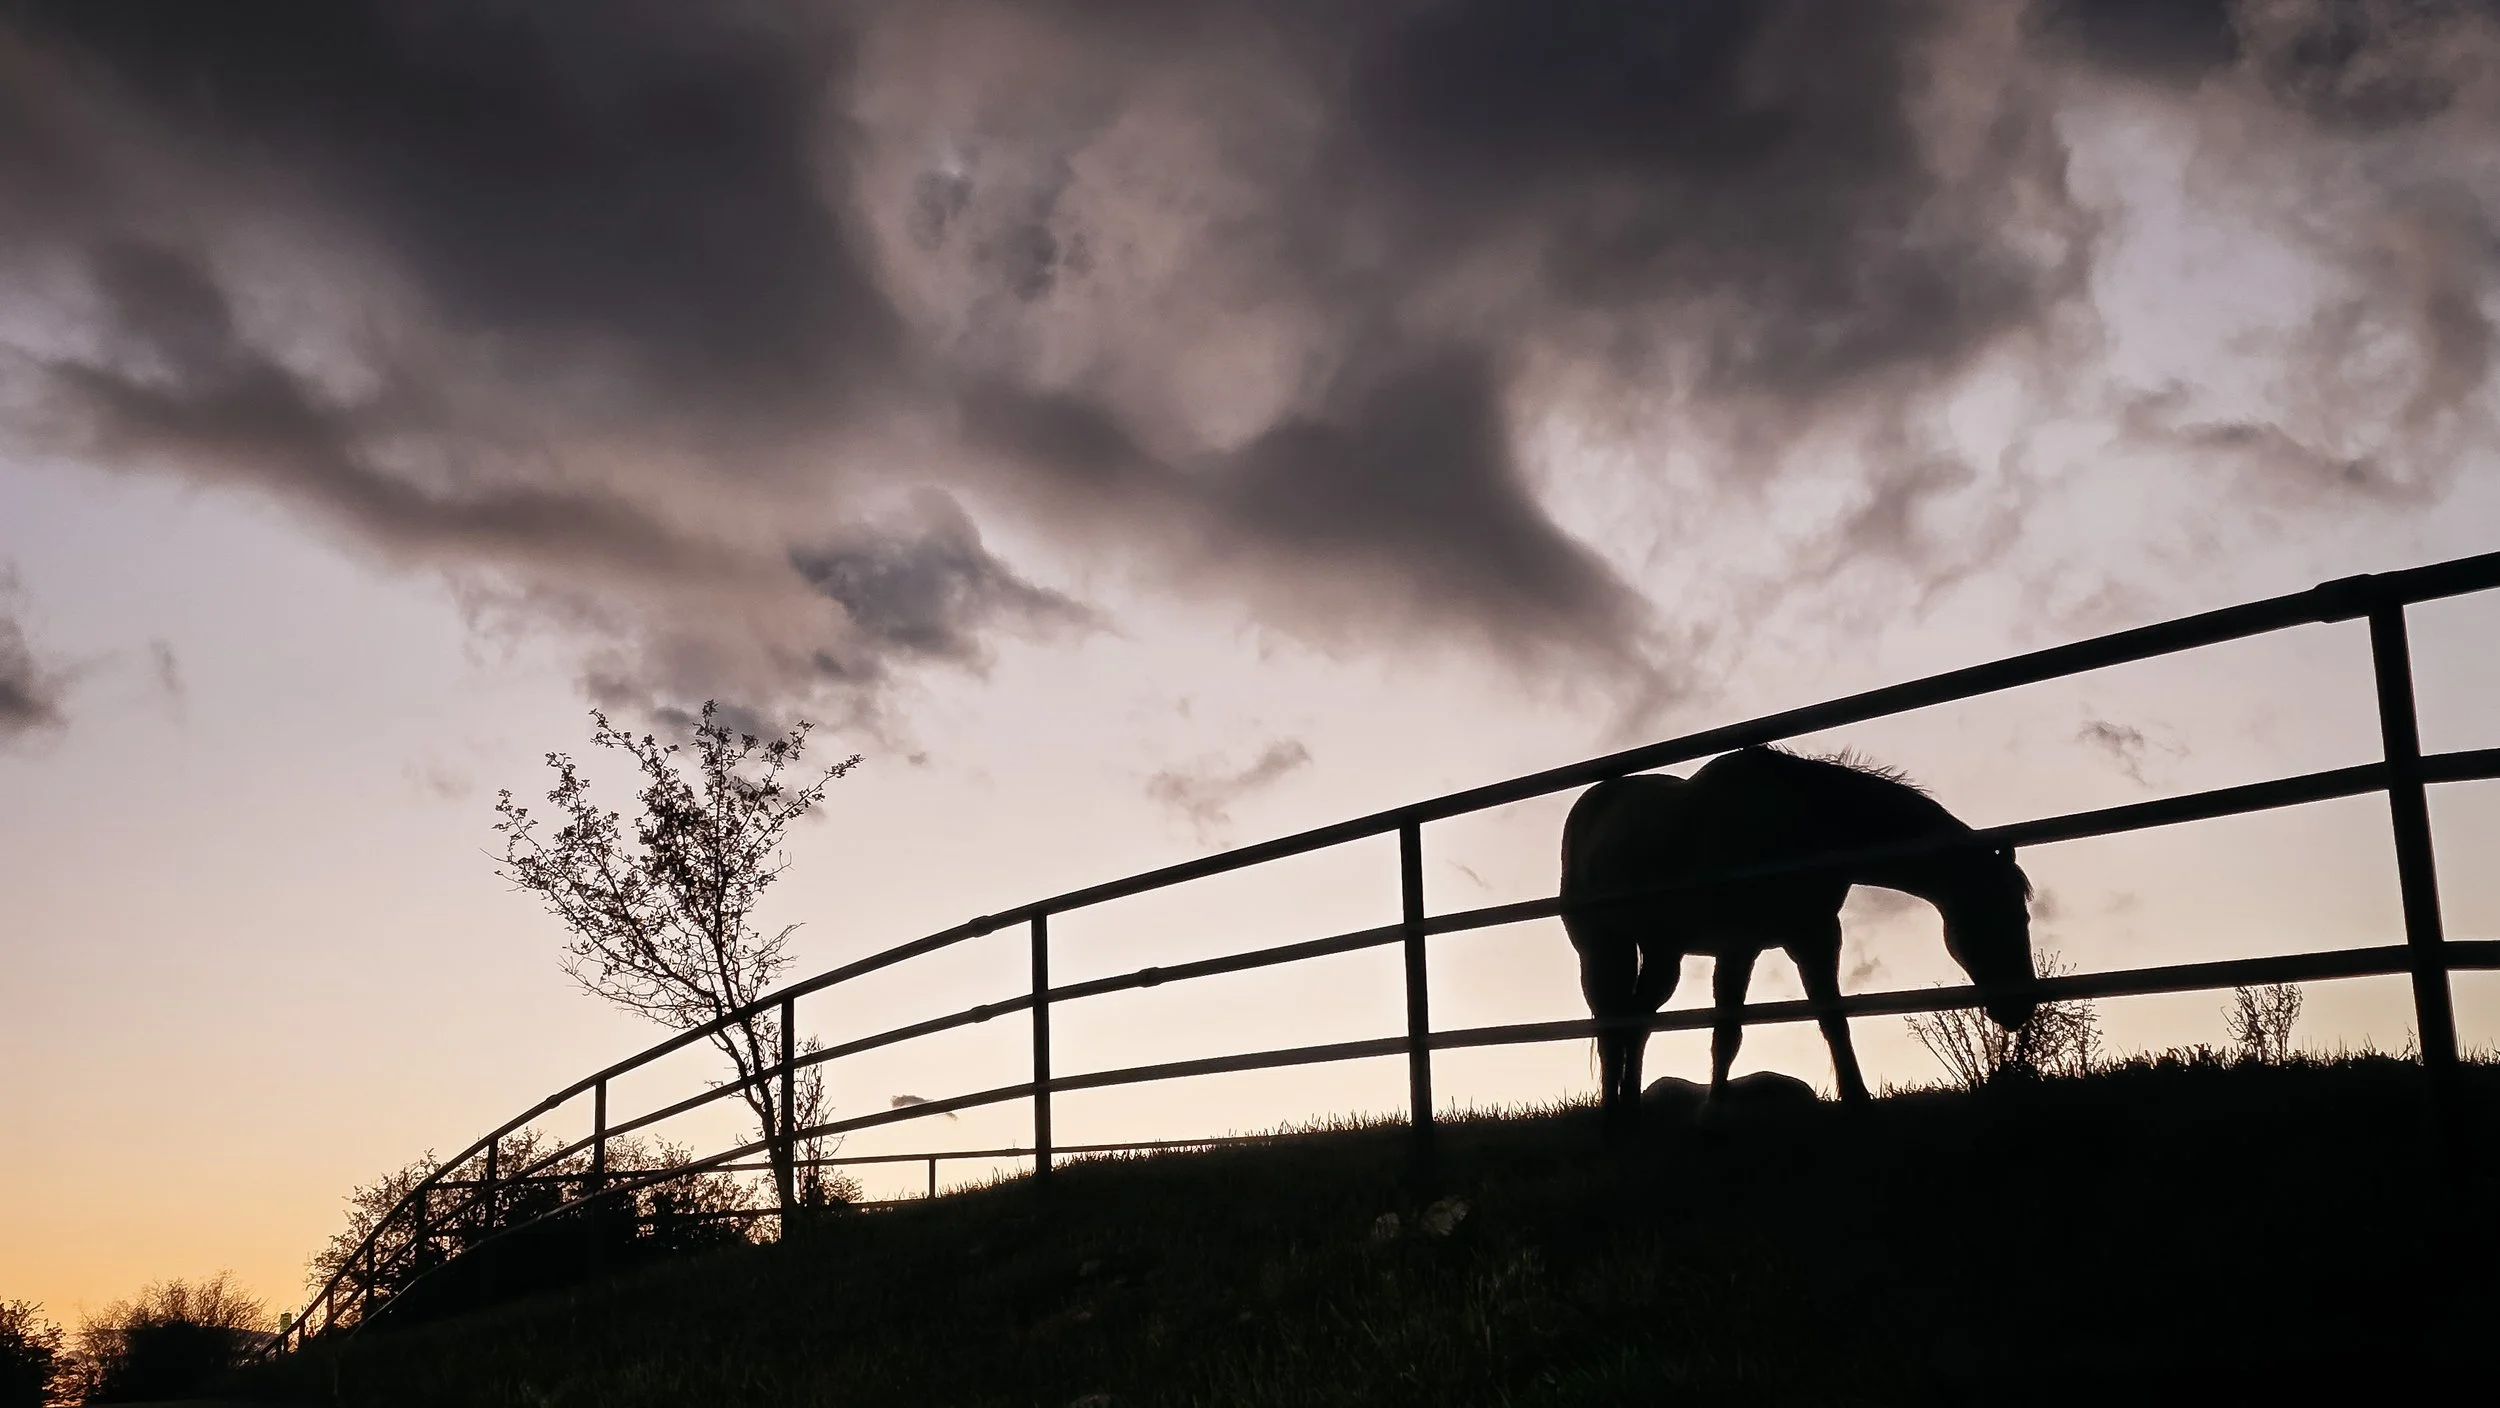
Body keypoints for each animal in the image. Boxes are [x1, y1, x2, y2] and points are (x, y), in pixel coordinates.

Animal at [1560, 746, 2036, 1139]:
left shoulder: (1815, 936)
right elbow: (1727, 1032)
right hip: (1602, 948)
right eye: (2002, 914)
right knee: (1612, 1023)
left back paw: (1631, 1114)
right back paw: (1613, 1120)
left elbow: (1832, 1018)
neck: (1798, 824)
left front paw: (1860, 1107)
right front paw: (1712, 1116)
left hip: (1663, 950)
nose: (2019, 1008)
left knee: (1636, 1021)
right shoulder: (1738, 945)